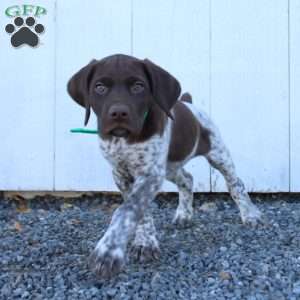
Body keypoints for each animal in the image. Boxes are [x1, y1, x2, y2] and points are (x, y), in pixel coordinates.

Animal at [67, 54, 262, 278]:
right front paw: (145, 243)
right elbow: (140, 212)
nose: (118, 113)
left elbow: (127, 210)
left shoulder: (150, 174)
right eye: (99, 87)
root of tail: (188, 102)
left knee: (235, 183)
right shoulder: (122, 175)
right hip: (170, 167)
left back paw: (250, 215)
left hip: (217, 154)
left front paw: (109, 250)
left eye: (138, 86)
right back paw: (184, 214)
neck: (125, 140)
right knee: (187, 179)